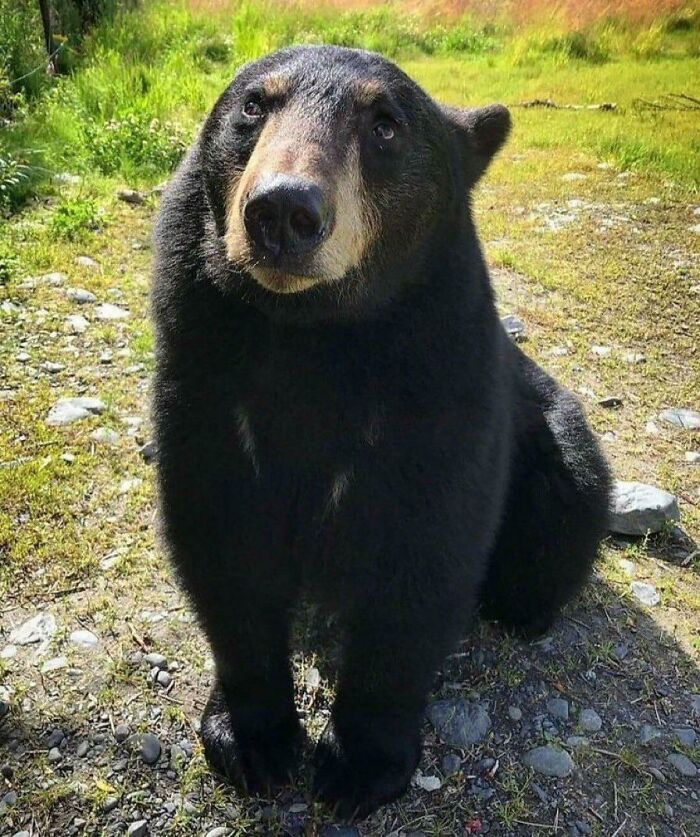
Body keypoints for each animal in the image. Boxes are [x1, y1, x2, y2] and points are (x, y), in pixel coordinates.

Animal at [151, 45, 611, 820]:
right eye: (254, 104)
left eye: (385, 124)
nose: (283, 210)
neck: (312, 333)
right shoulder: (203, 374)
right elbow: (223, 544)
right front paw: (253, 738)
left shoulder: (439, 392)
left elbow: (420, 562)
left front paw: (360, 763)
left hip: (557, 446)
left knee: (565, 506)